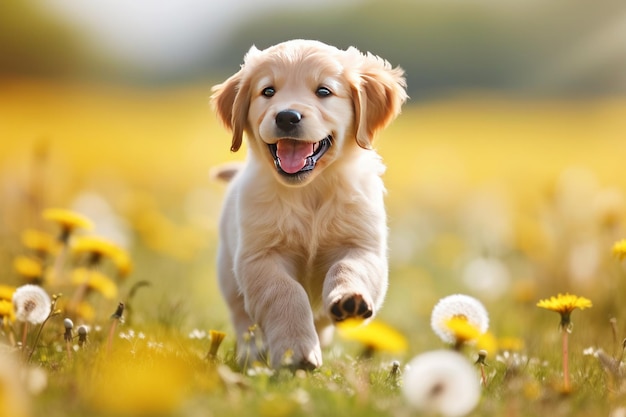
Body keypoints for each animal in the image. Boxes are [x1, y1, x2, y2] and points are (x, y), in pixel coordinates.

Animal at [210, 39, 404, 368]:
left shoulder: (362, 244)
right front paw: (295, 351)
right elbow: (286, 293)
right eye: (268, 91)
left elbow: (348, 267)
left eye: (323, 91)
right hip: (228, 275)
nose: (287, 116)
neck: (310, 190)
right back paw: (252, 355)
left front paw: (349, 300)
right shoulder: (259, 257)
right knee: (244, 322)